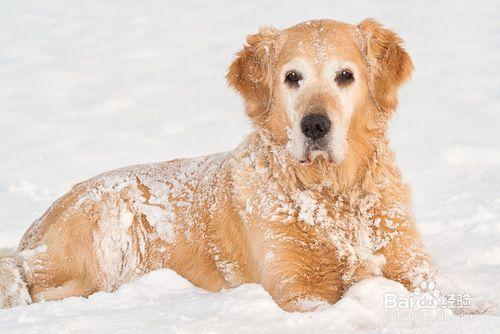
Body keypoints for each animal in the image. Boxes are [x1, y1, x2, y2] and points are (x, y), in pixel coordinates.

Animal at [0, 17, 434, 310]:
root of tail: (33, 230)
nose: (314, 125)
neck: (332, 192)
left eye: (345, 75)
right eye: (292, 77)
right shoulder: (294, 288)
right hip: (104, 228)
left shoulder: (415, 268)